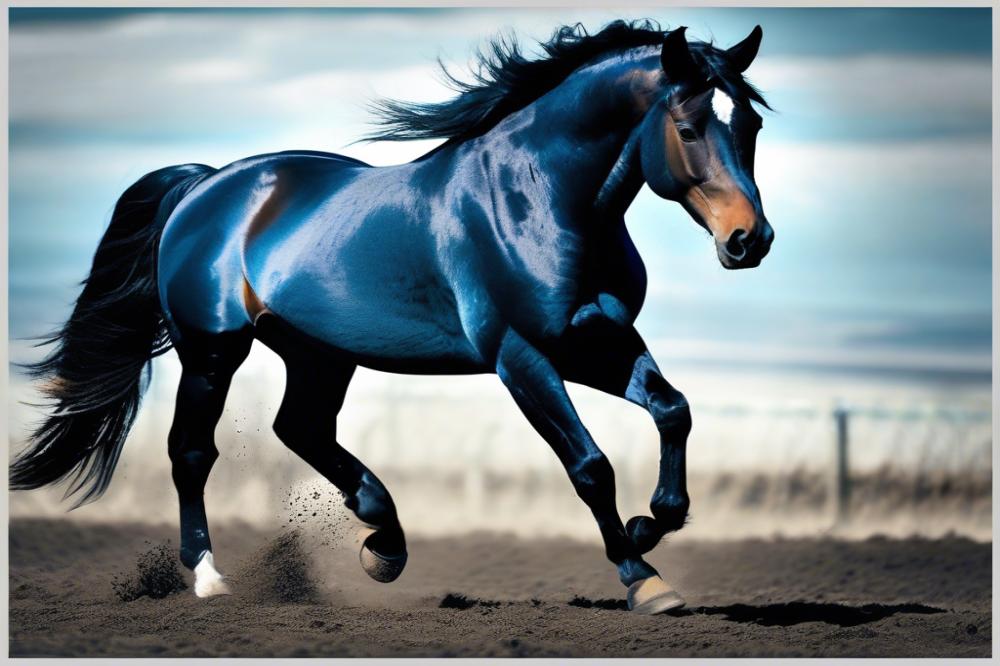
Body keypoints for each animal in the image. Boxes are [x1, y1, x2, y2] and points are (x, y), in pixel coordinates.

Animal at [11, 20, 773, 615]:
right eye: (688, 127)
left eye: (753, 124)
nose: (750, 241)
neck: (542, 198)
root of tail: (205, 184)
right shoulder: (520, 355)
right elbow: (589, 465)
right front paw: (644, 578)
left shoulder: (596, 339)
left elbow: (673, 410)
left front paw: (650, 525)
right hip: (213, 351)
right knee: (193, 452)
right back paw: (210, 579)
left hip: (319, 352)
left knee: (301, 427)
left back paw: (385, 541)